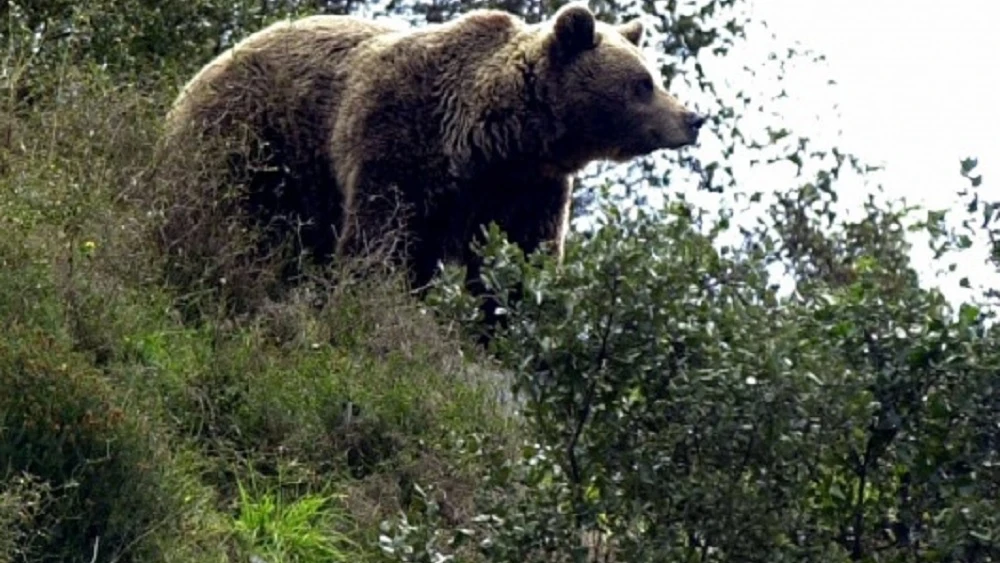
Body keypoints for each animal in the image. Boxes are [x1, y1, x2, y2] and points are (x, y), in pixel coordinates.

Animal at [164, 3, 708, 326]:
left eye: (655, 77)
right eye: (642, 83)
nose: (693, 118)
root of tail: (200, 74)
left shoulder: (529, 189)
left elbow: (521, 259)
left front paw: (506, 323)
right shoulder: (400, 138)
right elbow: (381, 236)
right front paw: (374, 299)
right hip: (253, 139)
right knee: (225, 206)